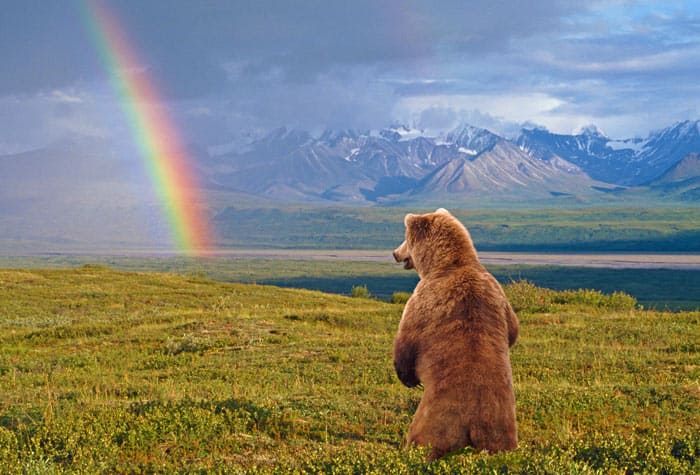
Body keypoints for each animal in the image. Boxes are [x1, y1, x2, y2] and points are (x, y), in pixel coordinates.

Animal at [394, 208, 520, 462]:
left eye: (405, 238)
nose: (394, 253)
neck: (446, 264)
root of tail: (473, 425)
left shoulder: (423, 298)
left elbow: (407, 339)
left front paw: (407, 377)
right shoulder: (499, 294)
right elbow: (513, 329)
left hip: (437, 418)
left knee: (424, 437)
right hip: (500, 421)